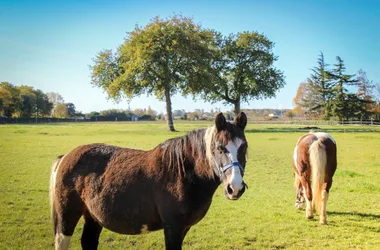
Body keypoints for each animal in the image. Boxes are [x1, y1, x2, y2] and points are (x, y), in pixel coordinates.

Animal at [49, 112, 248, 249]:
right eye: (220, 148)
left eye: (244, 147)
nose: (235, 188)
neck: (182, 173)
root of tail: (65, 157)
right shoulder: (173, 227)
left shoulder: (184, 228)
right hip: (67, 216)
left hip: (93, 217)